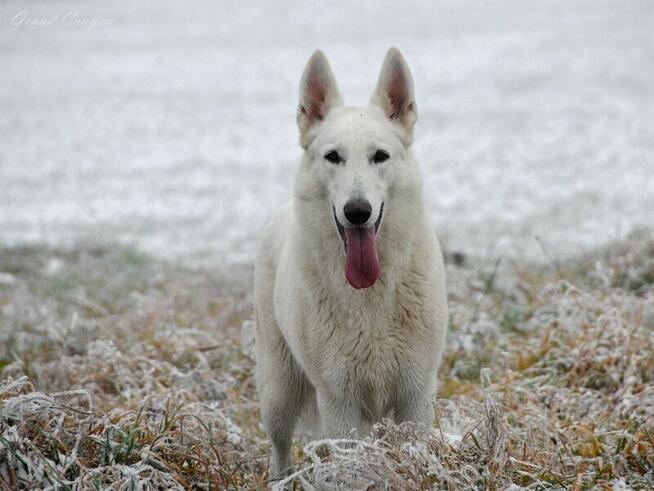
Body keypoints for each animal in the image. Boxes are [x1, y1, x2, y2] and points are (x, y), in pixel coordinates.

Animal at [254, 47, 448, 476]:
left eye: (380, 156)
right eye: (333, 157)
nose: (357, 212)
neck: (371, 296)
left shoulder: (416, 396)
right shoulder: (339, 403)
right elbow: (353, 466)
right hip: (279, 391)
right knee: (279, 446)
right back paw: (281, 479)